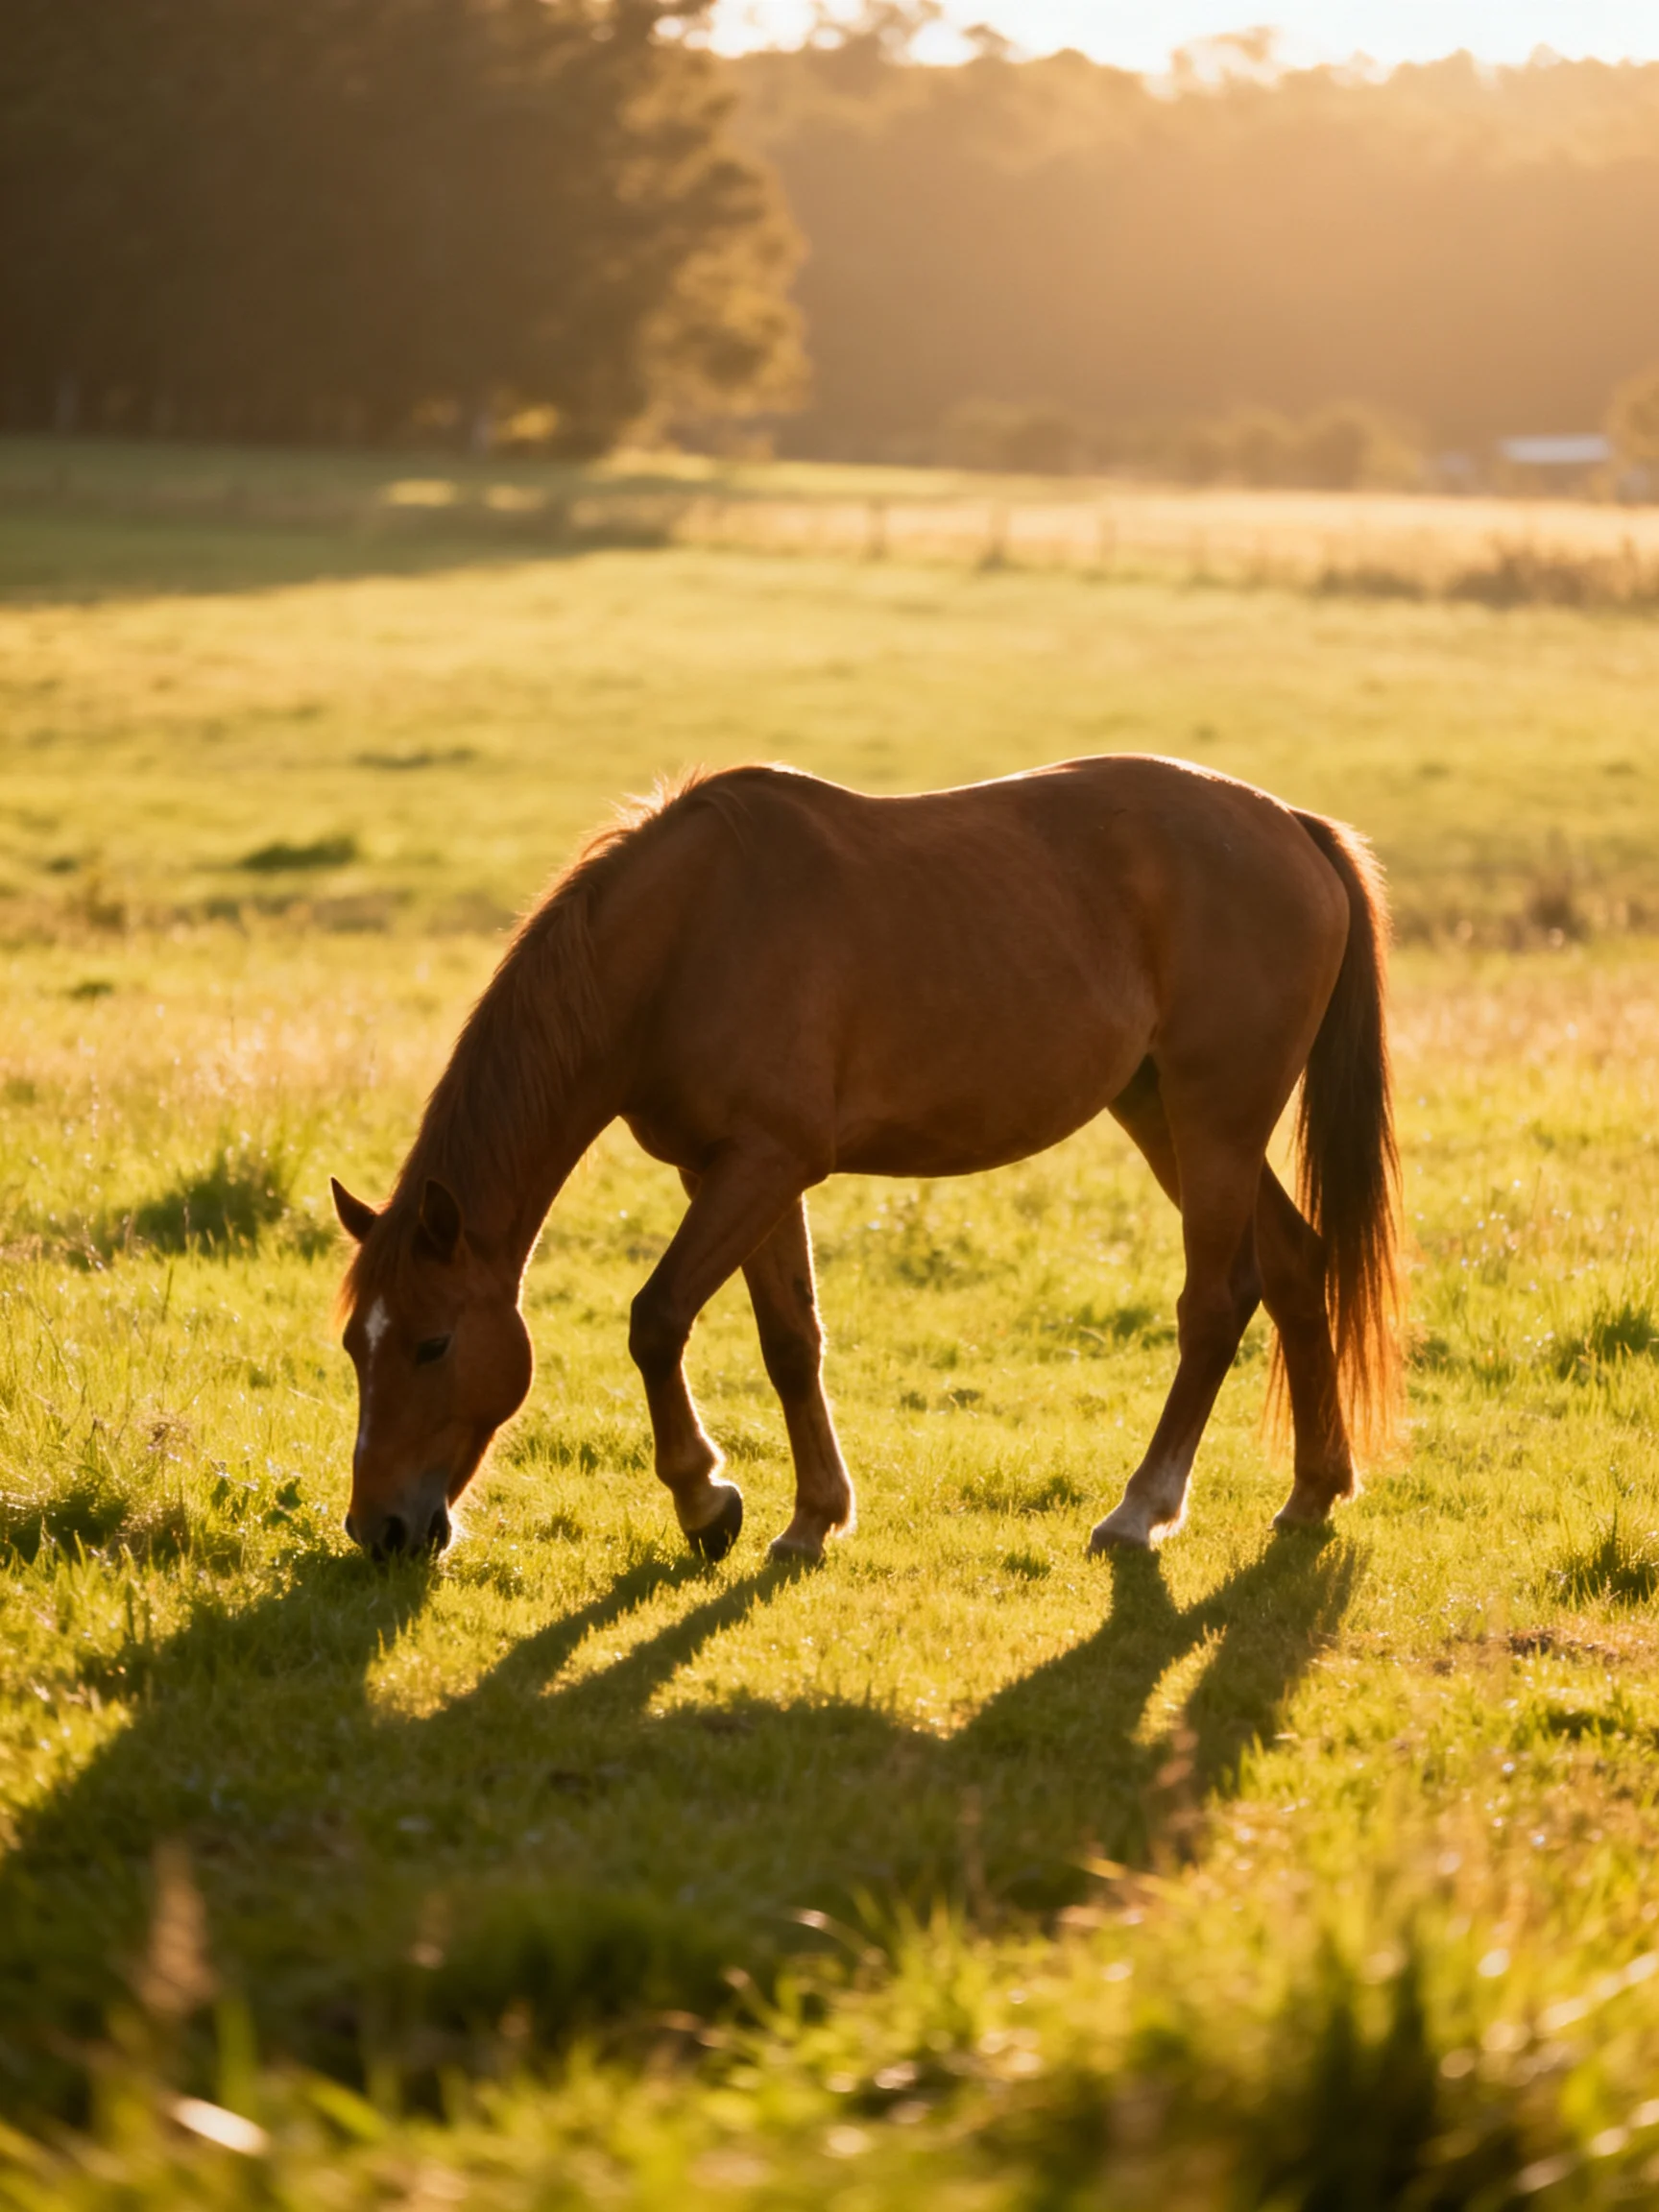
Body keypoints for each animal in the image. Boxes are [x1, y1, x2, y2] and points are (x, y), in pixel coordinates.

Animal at [331, 755, 1400, 1565]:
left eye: (433, 1343)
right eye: (354, 1347)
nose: (380, 1529)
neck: (685, 937)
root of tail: (1292, 827)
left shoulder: (764, 1163)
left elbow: (658, 1319)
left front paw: (704, 1500)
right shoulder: (733, 1172)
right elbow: (790, 1339)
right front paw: (813, 1516)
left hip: (1215, 1119)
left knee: (1215, 1305)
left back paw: (1141, 1510)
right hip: (1164, 1114)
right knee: (1297, 1268)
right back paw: (1313, 1490)